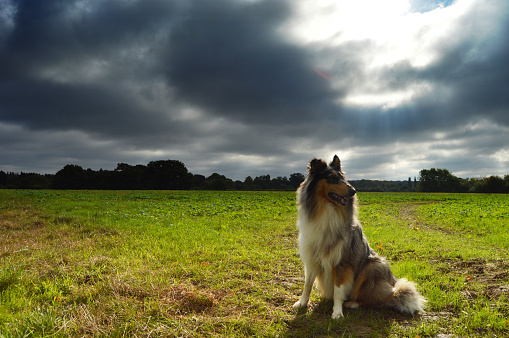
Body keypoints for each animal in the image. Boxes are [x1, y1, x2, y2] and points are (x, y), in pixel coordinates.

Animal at [294, 156, 424, 320]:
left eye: (343, 178)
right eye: (333, 178)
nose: (353, 191)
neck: (326, 208)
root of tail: (393, 286)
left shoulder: (341, 262)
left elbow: (338, 289)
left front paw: (337, 312)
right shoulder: (311, 256)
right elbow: (307, 283)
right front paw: (302, 303)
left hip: (374, 265)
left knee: (378, 299)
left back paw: (353, 303)